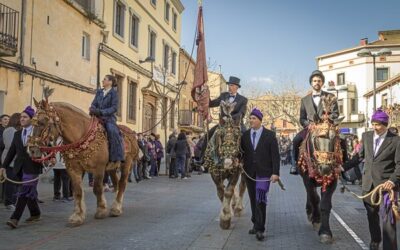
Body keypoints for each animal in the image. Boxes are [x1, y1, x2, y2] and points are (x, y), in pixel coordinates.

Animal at [27, 89, 139, 227]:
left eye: (43, 122)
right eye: (32, 122)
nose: (32, 149)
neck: (83, 136)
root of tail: (132, 134)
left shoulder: (99, 169)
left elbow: (97, 188)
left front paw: (101, 210)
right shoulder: (73, 169)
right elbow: (77, 191)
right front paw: (77, 216)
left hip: (126, 163)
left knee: (122, 183)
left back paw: (116, 208)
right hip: (112, 167)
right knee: (117, 183)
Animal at [203, 100, 247, 229]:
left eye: (237, 136)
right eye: (221, 135)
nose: (228, 162)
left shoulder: (236, 171)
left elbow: (228, 192)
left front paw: (225, 218)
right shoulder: (214, 173)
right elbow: (221, 192)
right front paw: (225, 214)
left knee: (242, 187)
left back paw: (238, 207)